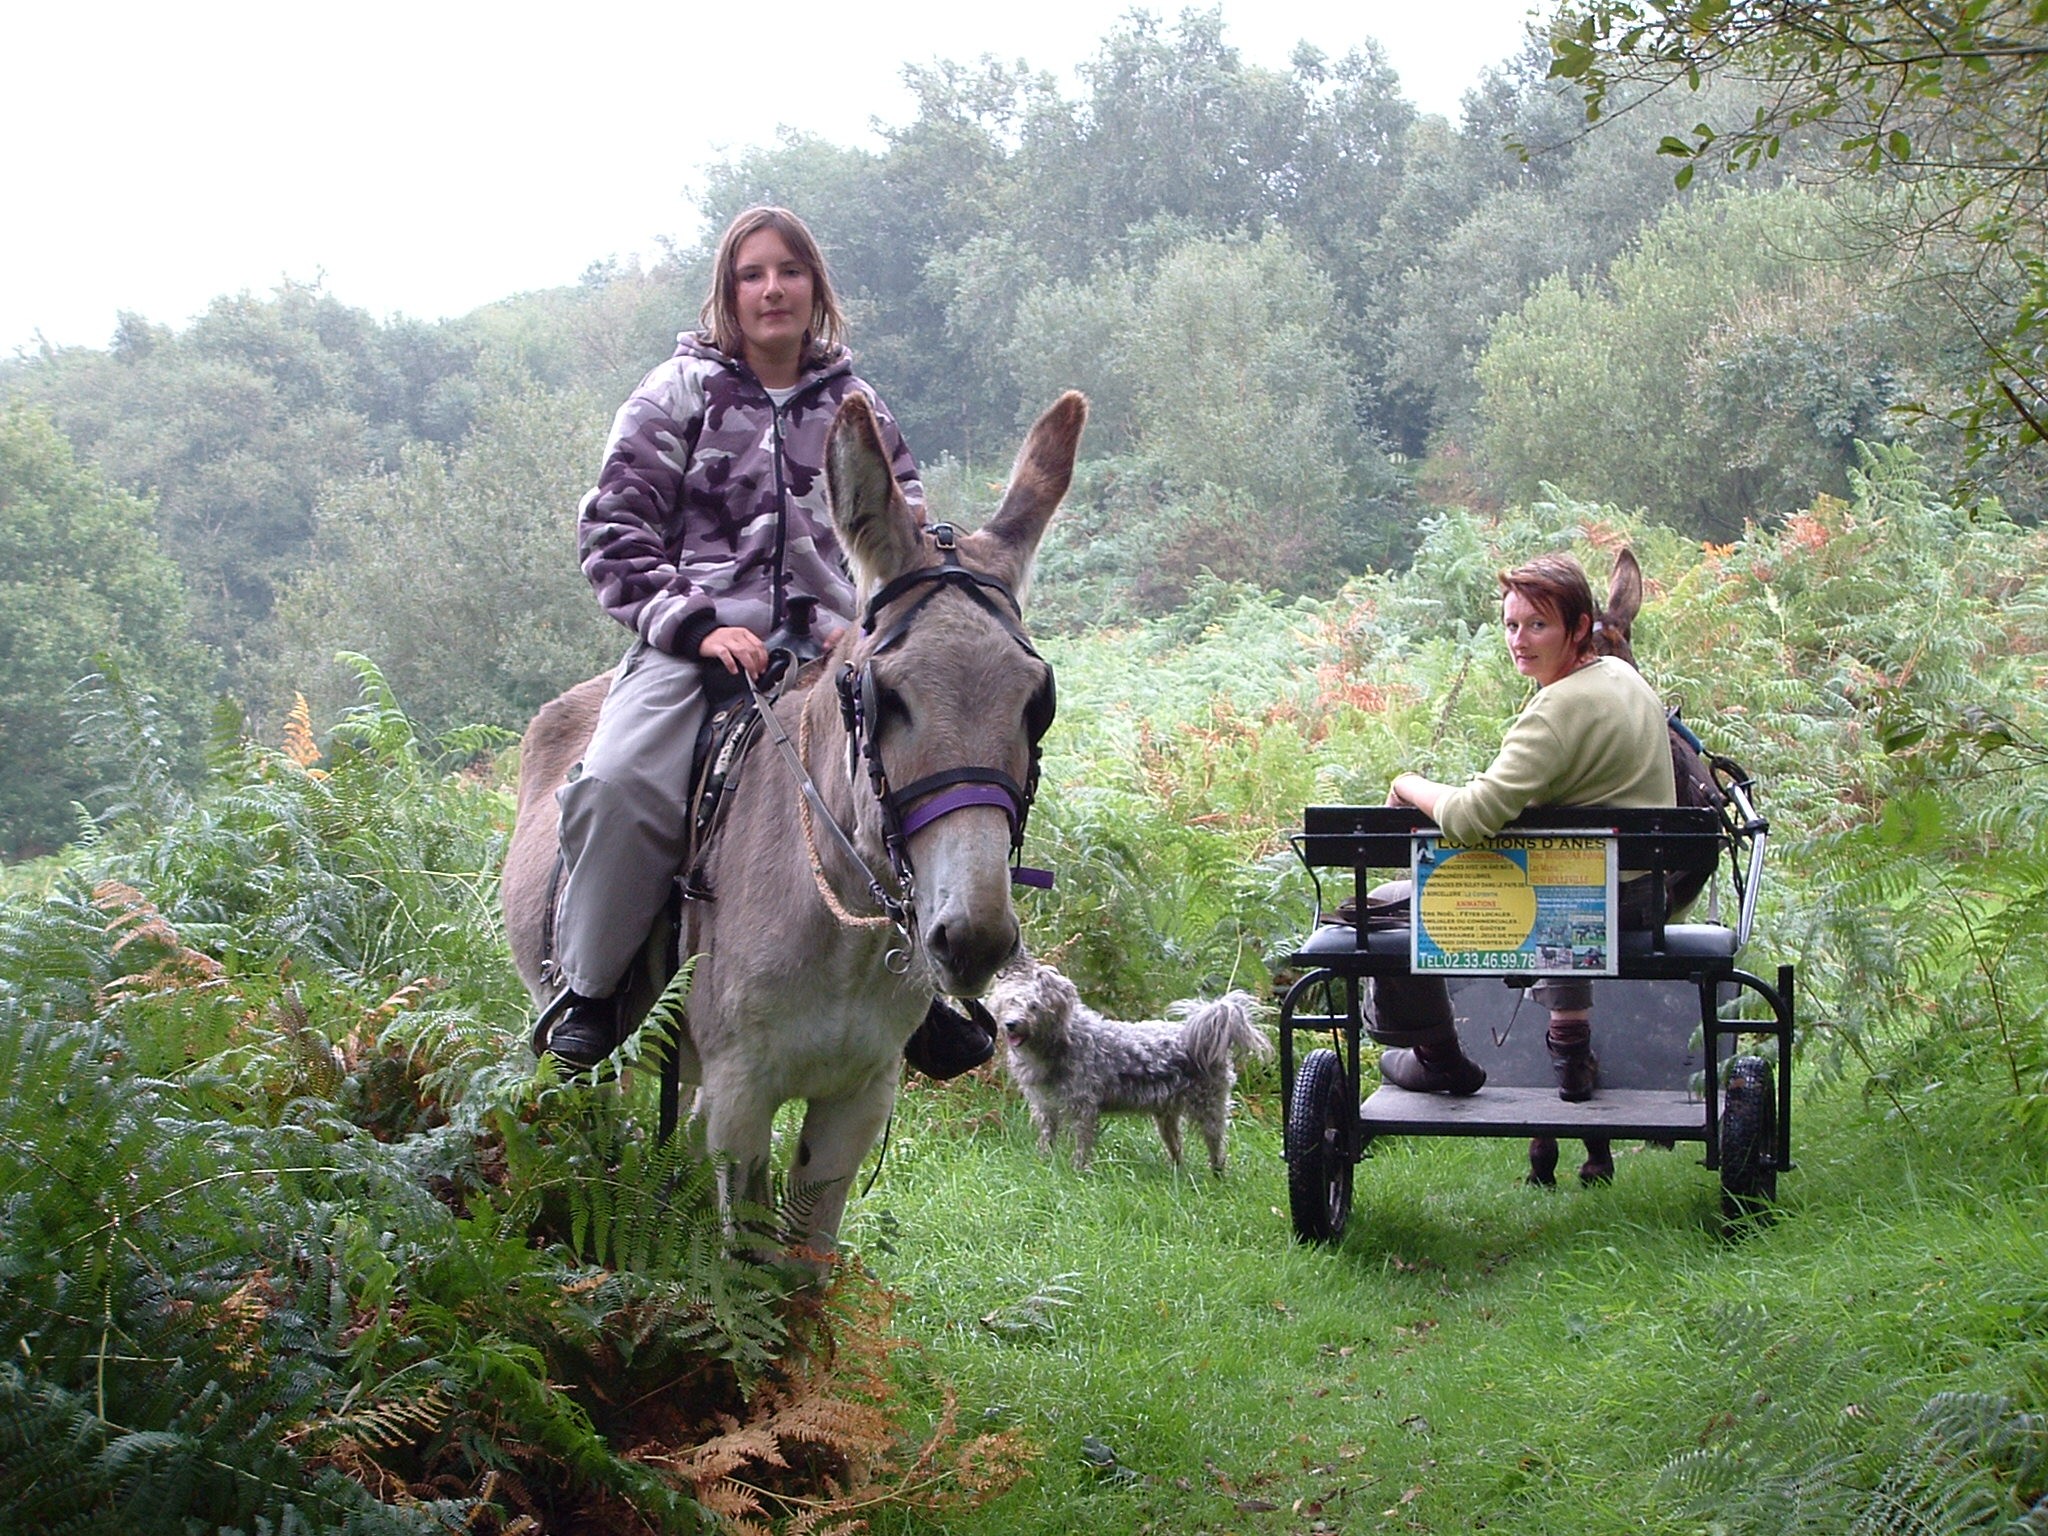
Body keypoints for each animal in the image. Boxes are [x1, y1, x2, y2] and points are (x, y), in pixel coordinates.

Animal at [987, 962, 1269, 1179]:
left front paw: (1078, 1172)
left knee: (1217, 1146)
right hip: (1166, 1117)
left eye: (1034, 1006)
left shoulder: (1084, 1108)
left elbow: (1082, 1146)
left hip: (1209, 1109)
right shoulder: (1045, 1107)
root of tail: (1204, 1037)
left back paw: (1217, 1176)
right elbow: (1047, 1139)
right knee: (1177, 1149)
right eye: (1011, 1002)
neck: (1061, 1043)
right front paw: (1045, 1162)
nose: (1011, 1024)